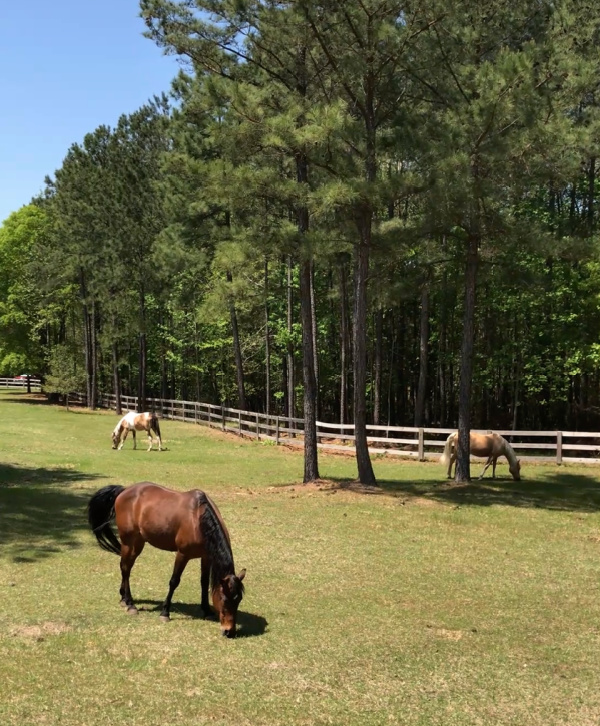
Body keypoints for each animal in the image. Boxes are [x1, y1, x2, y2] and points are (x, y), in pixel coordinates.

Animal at [87, 482, 246, 638]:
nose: (229, 631)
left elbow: (204, 583)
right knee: (125, 569)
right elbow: (174, 581)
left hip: (138, 543)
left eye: (238, 599)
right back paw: (131, 604)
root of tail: (124, 491)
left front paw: (206, 610)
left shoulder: (206, 557)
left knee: (126, 566)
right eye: (224, 599)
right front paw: (165, 613)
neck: (198, 519)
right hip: (128, 542)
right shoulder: (182, 554)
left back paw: (124, 599)